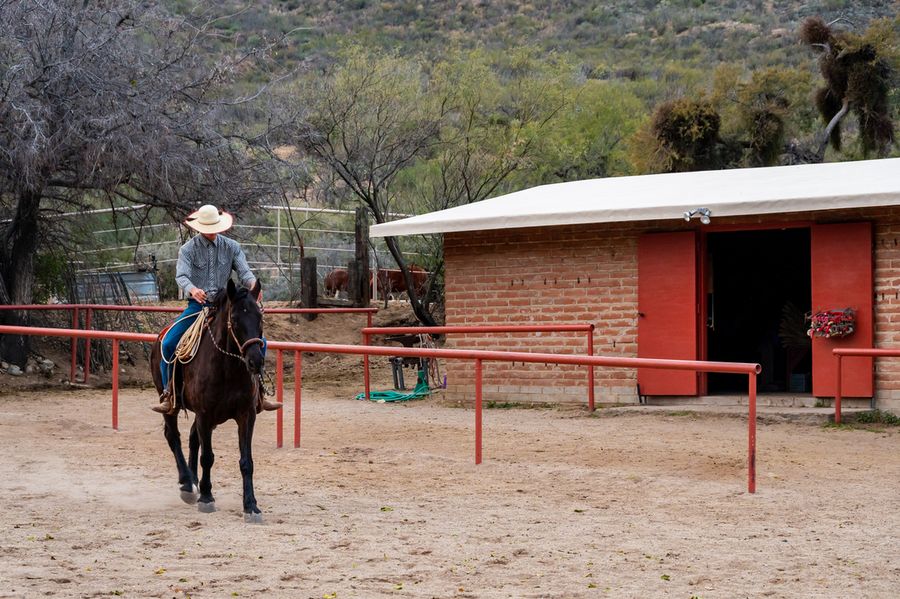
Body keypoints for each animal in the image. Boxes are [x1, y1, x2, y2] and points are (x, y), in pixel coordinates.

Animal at [151, 278, 268, 524]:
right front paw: (206, 498)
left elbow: (246, 462)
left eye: (260, 318)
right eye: (235, 319)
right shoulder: (205, 413)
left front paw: (251, 506)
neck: (228, 367)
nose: (255, 361)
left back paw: (193, 480)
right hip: (170, 404)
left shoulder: (246, 415)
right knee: (173, 436)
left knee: (192, 438)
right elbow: (207, 457)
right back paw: (187, 483)